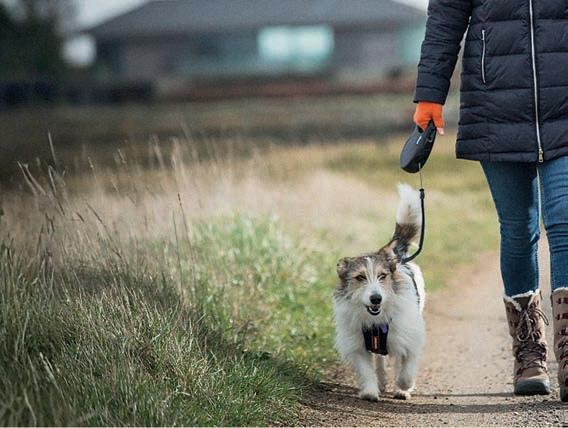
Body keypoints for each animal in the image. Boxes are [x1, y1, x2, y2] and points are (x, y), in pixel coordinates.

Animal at [333, 184, 426, 401]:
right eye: (360, 277)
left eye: (382, 276)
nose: (376, 298)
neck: (376, 320)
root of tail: (394, 254)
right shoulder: (358, 344)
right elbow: (366, 369)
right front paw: (369, 391)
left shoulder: (410, 336)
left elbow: (406, 368)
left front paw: (404, 387)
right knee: (379, 359)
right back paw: (382, 380)